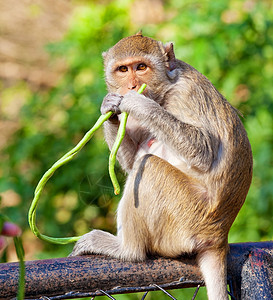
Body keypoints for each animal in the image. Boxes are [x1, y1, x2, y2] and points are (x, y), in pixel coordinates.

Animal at [70, 32, 253, 300]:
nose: (132, 86)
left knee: (149, 167)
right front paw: (110, 108)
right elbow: (130, 160)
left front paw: (140, 104)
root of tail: (219, 236)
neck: (166, 88)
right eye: (123, 69)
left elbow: (203, 151)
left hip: (186, 220)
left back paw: (126, 250)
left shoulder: (187, 93)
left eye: (141, 67)